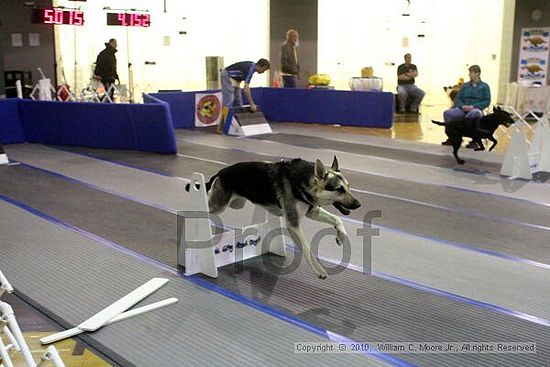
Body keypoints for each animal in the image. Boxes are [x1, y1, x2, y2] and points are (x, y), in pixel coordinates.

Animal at [205, 157, 360, 280]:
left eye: (348, 186)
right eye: (339, 189)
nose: (358, 204)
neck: (305, 182)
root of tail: (220, 172)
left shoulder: (312, 211)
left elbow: (337, 220)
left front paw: (340, 236)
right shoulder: (293, 224)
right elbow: (307, 248)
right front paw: (319, 270)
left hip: (236, 204)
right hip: (220, 206)